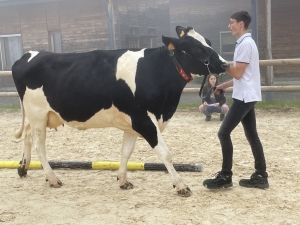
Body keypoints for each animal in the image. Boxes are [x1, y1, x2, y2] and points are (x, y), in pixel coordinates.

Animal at [12, 26, 227, 196]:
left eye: (208, 42)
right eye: (197, 48)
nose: (225, 63)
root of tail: (27, 55)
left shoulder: (132, 123)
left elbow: (126, 152)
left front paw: (123, 180)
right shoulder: (143, 119)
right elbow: (165, 153)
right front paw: (181, 185)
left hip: (42, 116)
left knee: (28, 135)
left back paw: (23, 167)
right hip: (38, 113)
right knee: (40, 146)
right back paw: (52, 178)